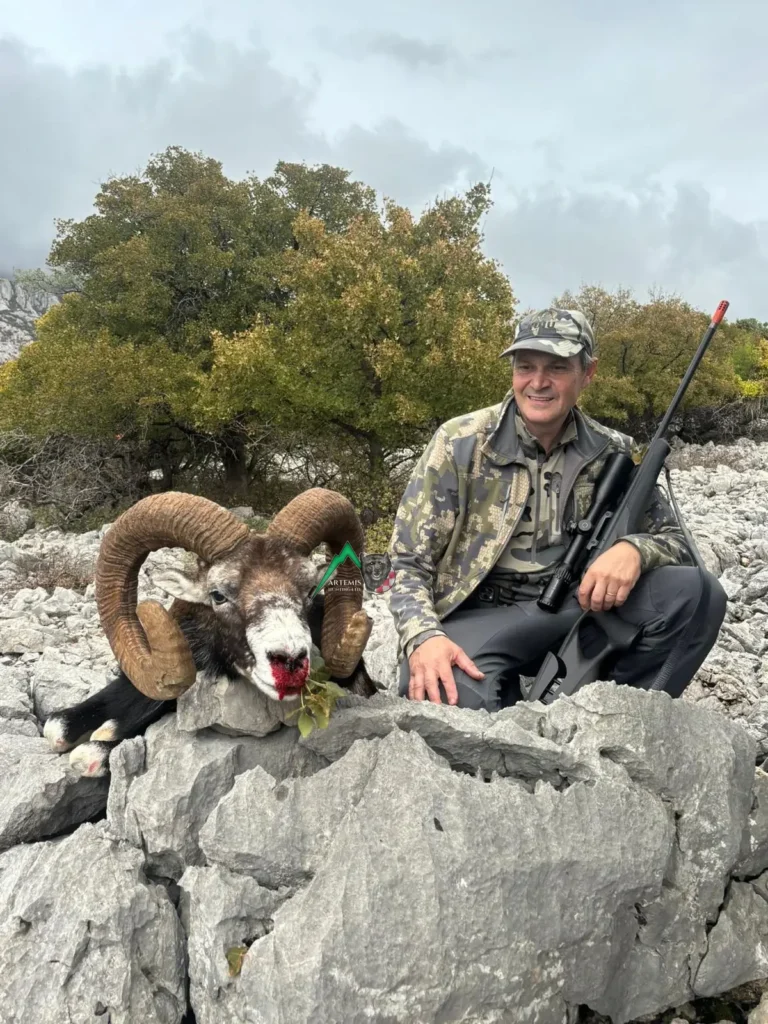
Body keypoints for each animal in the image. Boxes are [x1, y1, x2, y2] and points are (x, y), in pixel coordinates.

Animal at [44, 488, 376, 776]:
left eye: (309, 590)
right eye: (218, 595)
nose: (291, 661)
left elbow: (88, 755)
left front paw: (101, 743)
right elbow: (55, 726)